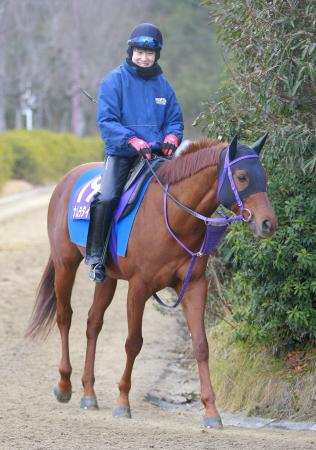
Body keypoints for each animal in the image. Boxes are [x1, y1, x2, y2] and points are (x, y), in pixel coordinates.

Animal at [25, 134, 276, 428]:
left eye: (264, 175)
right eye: (242, 176)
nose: (268, 223)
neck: (172, 215)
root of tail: (67, 178)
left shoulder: (194, 286)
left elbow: (201, 345)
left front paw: (211, 410)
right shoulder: (138, 287)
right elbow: (133, 343)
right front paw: (123, 402)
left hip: (106, 278)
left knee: (93, 323)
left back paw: (88, 392)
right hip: (65, 264)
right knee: (65, 317)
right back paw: (65, 385)